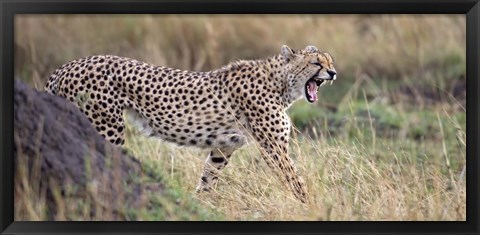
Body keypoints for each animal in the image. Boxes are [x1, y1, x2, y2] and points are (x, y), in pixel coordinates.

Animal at [45, 45, 338, 203]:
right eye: (316, 63)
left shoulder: (222, 148)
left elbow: (208, 178)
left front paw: (200, 203)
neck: (281, 84)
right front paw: (311, 206)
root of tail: (67, 65)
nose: (333, 73)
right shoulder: (274, 147)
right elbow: (295, 180)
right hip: (107, 126)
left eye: (330, 61)